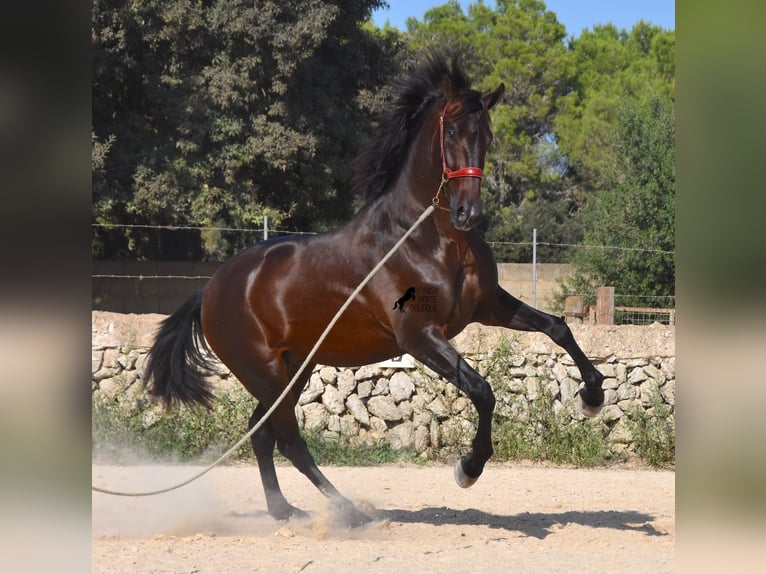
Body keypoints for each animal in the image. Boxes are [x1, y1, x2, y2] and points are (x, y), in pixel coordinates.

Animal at [144, 51, 608, 528]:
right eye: (452, 131)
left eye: (488, 135)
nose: (468, 212)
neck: (429, 238)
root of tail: (210, 290)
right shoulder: (420, 335)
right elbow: (482, 390)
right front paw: (469, 468)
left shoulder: (488, 307)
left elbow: (558, 328)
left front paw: (592, 397)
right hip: (266, 373)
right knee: (289, 440)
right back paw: (350, 512)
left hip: (293, 371)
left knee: (262, 434)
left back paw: (286, 511)